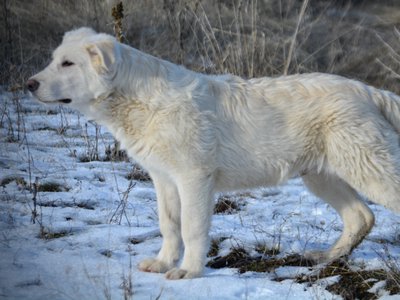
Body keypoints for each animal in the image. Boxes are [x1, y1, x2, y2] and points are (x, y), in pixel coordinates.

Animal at [28, 27, 400, 278]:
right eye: (54, 60)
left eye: (68, 64)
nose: (29, 84)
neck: (137, 99)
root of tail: (368, 90)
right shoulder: (163, 178)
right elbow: (169, 224)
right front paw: (163, 262)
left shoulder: (194, 178)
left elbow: (192, 228)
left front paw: (188, 272)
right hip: (322, 176)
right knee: (361, 217)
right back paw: (325, 258)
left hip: (369, 169)